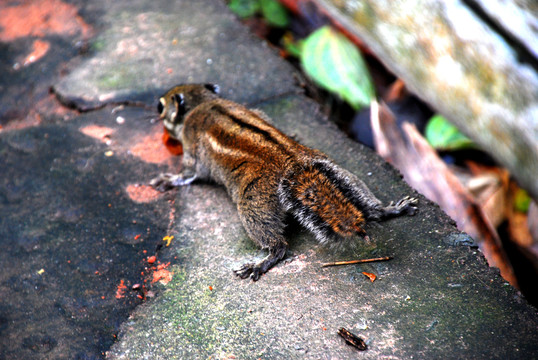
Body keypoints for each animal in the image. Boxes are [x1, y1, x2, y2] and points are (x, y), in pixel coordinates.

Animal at [151, 84, 418, 282]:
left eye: (160, 105)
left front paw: (167, 180)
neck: (202, 103)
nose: (157, 112)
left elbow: (188, 173)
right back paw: (390, 209)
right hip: (338, 172)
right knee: (367, 204)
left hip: (254, 202)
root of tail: (293, 163)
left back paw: (261, 263)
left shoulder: (192, 149)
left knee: (277, 243)